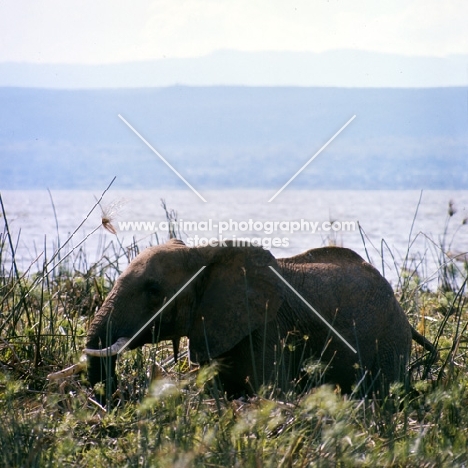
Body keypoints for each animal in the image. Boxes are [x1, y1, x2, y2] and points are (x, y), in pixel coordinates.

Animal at [76, 239, 436, 400]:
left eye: (153, 290)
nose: (112, 395)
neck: (204, 252)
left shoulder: (268, 328)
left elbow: (270, 391)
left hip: (389, 340)